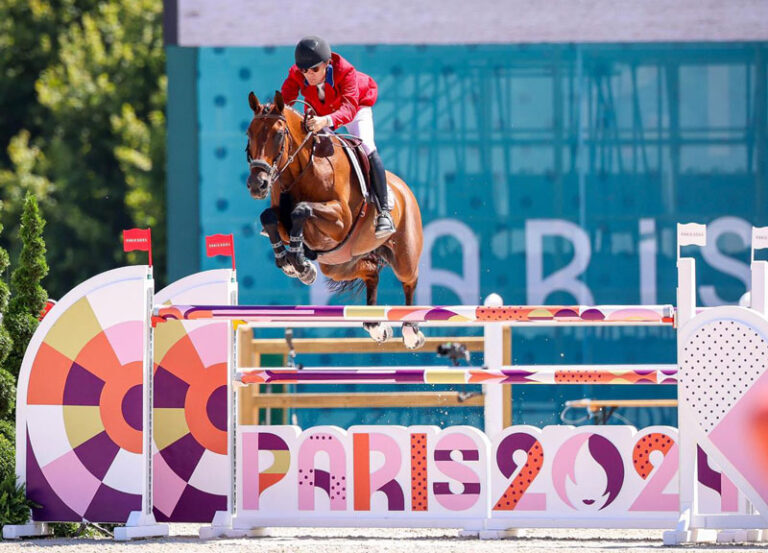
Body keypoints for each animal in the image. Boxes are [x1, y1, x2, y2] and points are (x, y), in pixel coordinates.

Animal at [246, 92, 426, 348]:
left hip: (404, 255)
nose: (257, 184)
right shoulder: (283, 222)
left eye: (278, 134)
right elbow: (269, 217)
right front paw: (291, 263)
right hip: (338, 264)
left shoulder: (340, 221)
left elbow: (301, 210)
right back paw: (375, 326)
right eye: (249, 133)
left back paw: (411, 330)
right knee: (371, 272)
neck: (305, 167)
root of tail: (404, 188)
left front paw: (299, 263)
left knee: (410, 279)